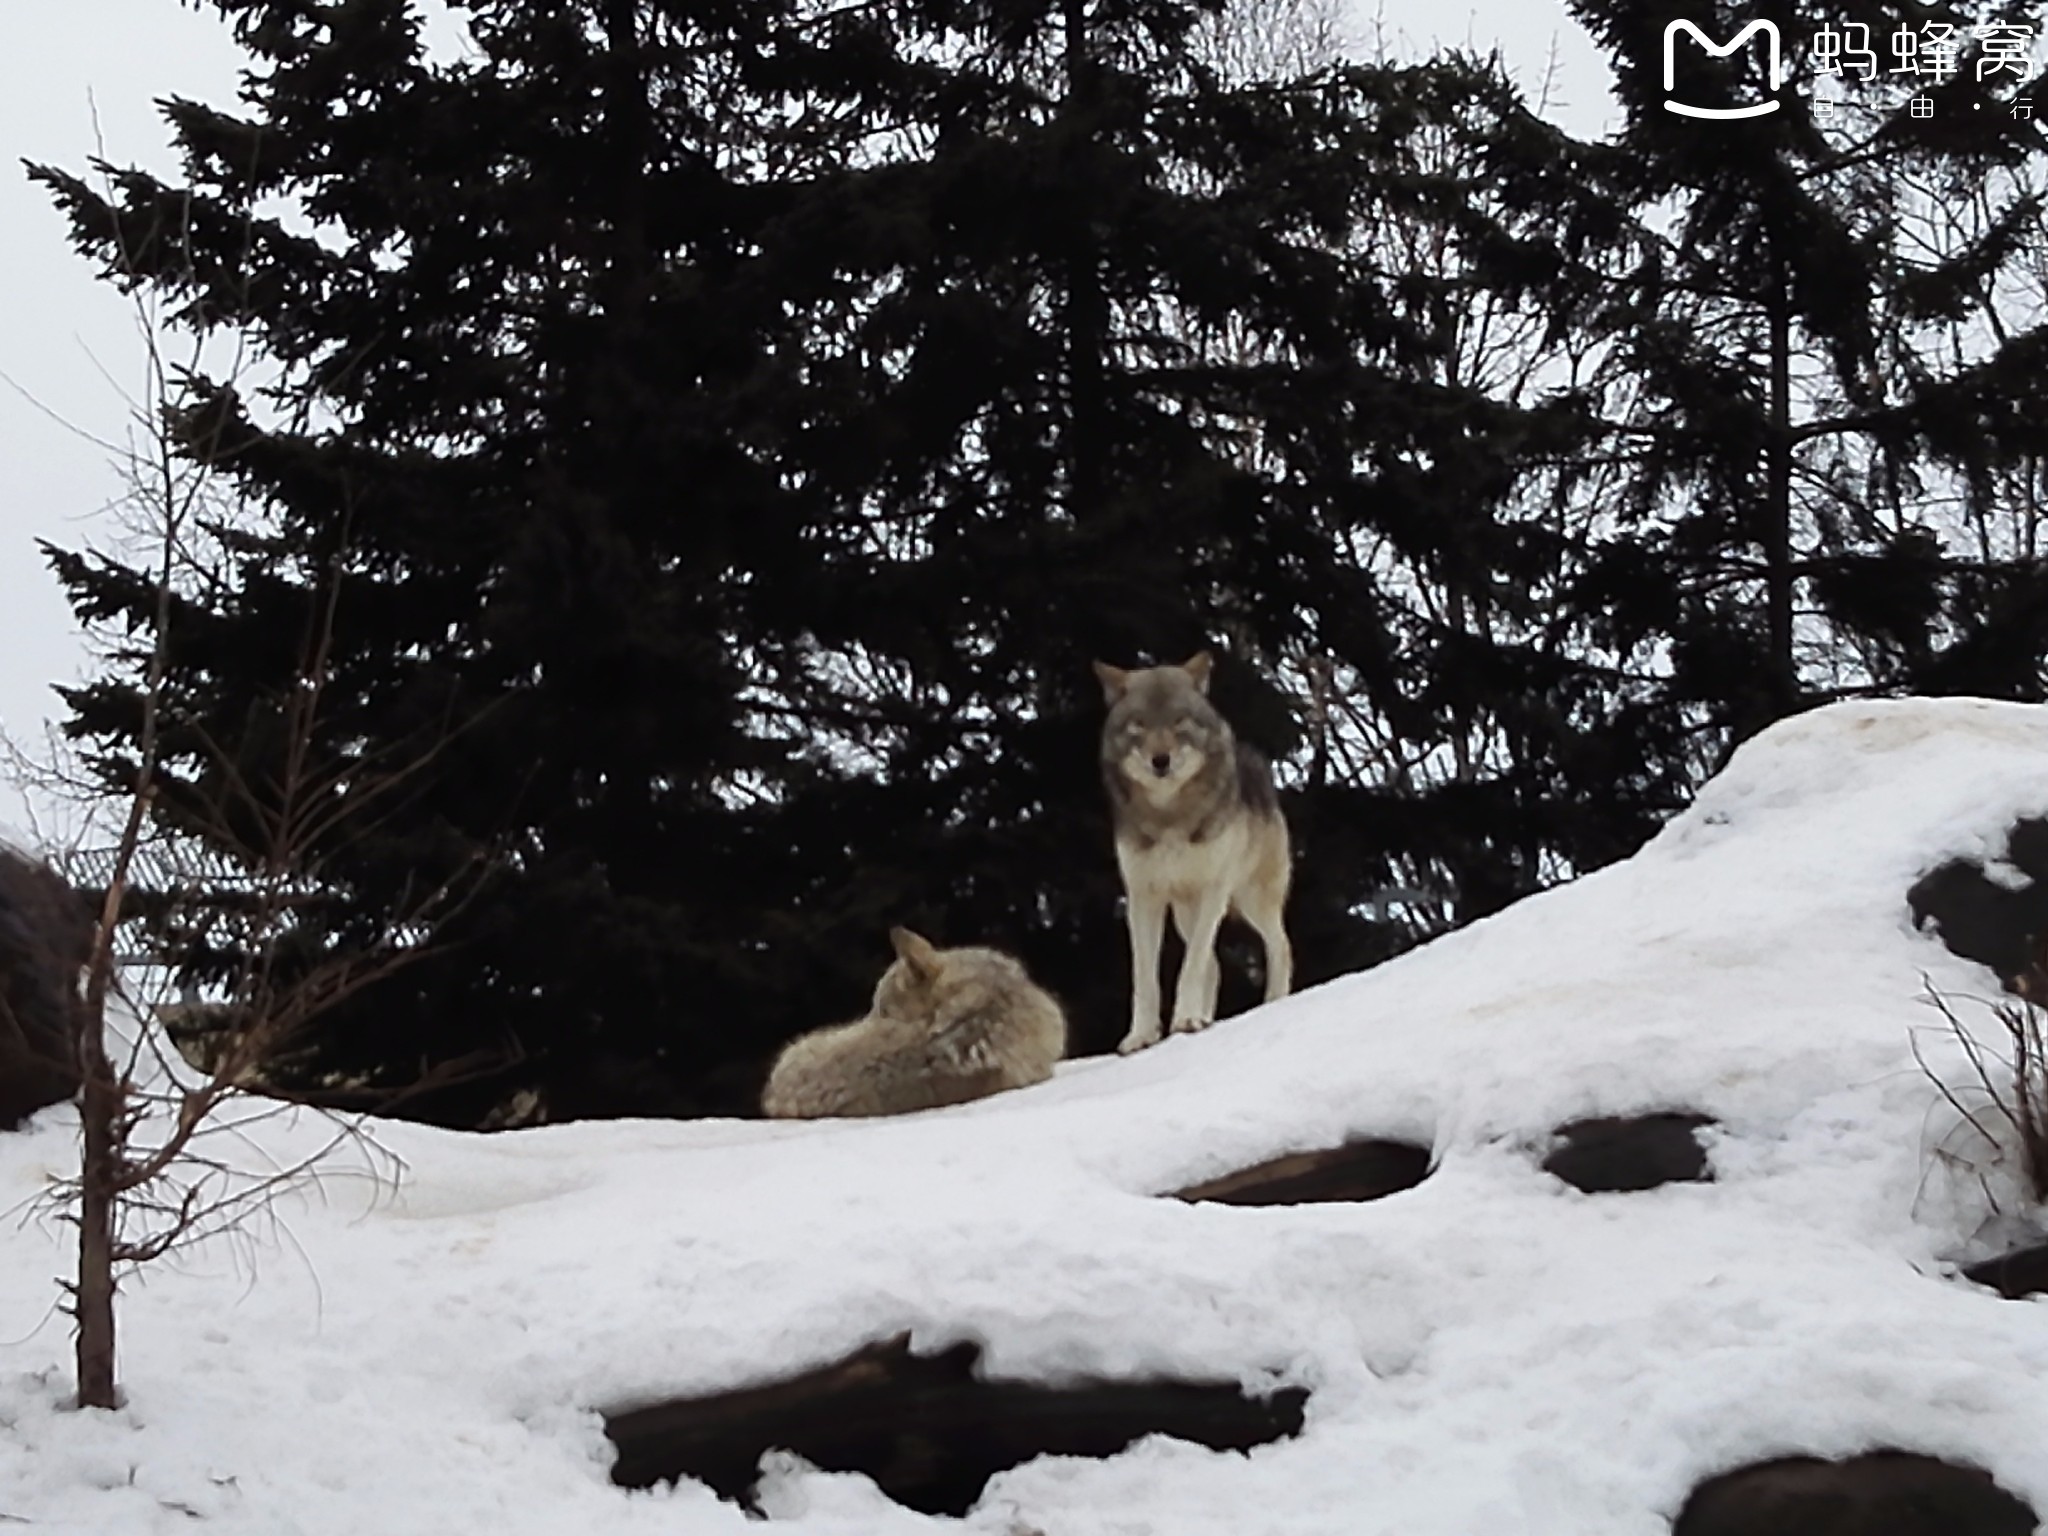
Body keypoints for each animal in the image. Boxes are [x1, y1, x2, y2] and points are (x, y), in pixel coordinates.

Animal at [1097, 651, 1286, 1056]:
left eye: (1178, 721)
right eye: (1139, 725)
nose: (1161, 760)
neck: (1169, 814)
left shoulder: (1213, 890)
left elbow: (1191, 967)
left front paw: (1185, 1020)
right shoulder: (1143, 899)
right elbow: (1146, 979)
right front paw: (1142, 1035)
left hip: (1250, 901)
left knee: (1279, 945)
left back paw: (1274, 1002)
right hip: (1186, 912)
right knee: (1214, 965)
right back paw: (1206, 1016)